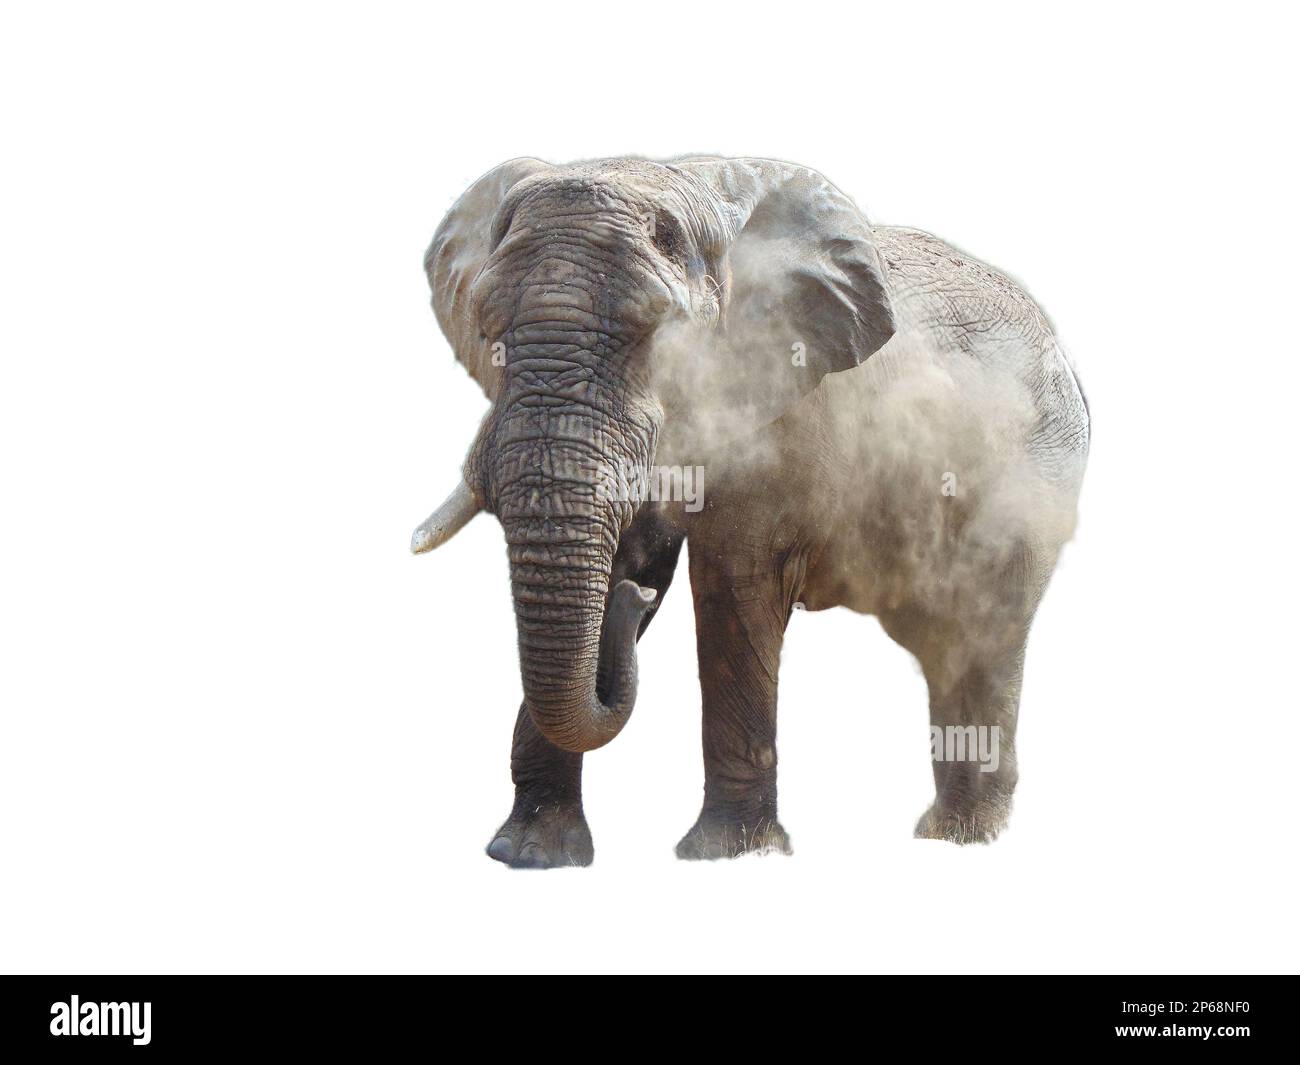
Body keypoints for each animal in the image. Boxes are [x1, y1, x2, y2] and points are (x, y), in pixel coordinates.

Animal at [410, 156, 1089, 866]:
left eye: (659, 339)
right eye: (488, 333)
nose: (633, 602)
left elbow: (733, 585)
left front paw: (725, 855)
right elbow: (631, 553)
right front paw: (530, 855)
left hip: (1034, 475)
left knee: (983, 635)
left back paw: (965, 839)